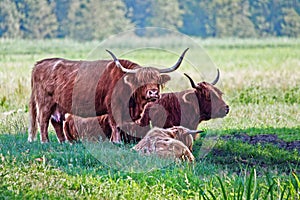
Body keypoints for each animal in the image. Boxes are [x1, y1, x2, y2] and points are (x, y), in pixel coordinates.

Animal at [28, 48, 188, 143]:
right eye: (140, 81)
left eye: (157, 81)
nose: (153, 92)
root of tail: (40, 64)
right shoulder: (113, 107)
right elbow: (115, 125)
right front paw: (116, 141)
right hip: (45, 102)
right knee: (42, 120)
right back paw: (45, 142)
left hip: (58, 105)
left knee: (56, 122)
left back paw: (64, 143)